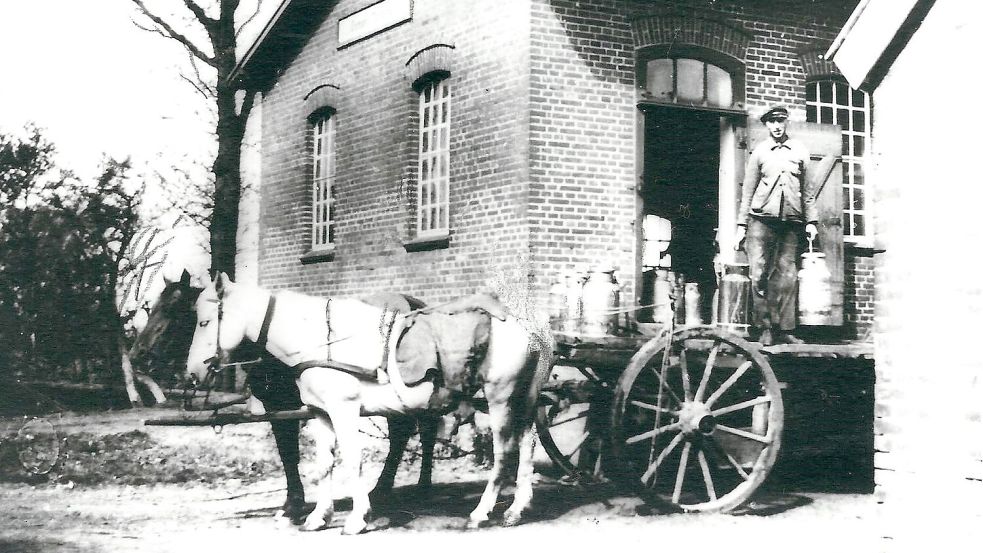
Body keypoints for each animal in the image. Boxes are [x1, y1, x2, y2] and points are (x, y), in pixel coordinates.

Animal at [130, 270, 438, 520]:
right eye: (152, 308)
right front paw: (294, 503)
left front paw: (295, 504)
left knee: (411, 433)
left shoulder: (287, 405)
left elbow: (290, 450)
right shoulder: (276, 406)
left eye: (174, 310)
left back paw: (404, 487)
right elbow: (286, 451)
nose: (137, 357)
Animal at [185, 274, 552, 532]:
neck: (320, 338)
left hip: (501, 397)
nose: (191, 375)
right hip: (523, 398)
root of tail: (529, 329)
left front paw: (357, 519)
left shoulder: (344, 410)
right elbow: (324, 464)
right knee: (527, 445)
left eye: (204, 322)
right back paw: (516, 510)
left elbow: (352, 461)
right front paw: (318, 517)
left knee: (504, 453)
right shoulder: (320, 414)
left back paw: (480, 512)